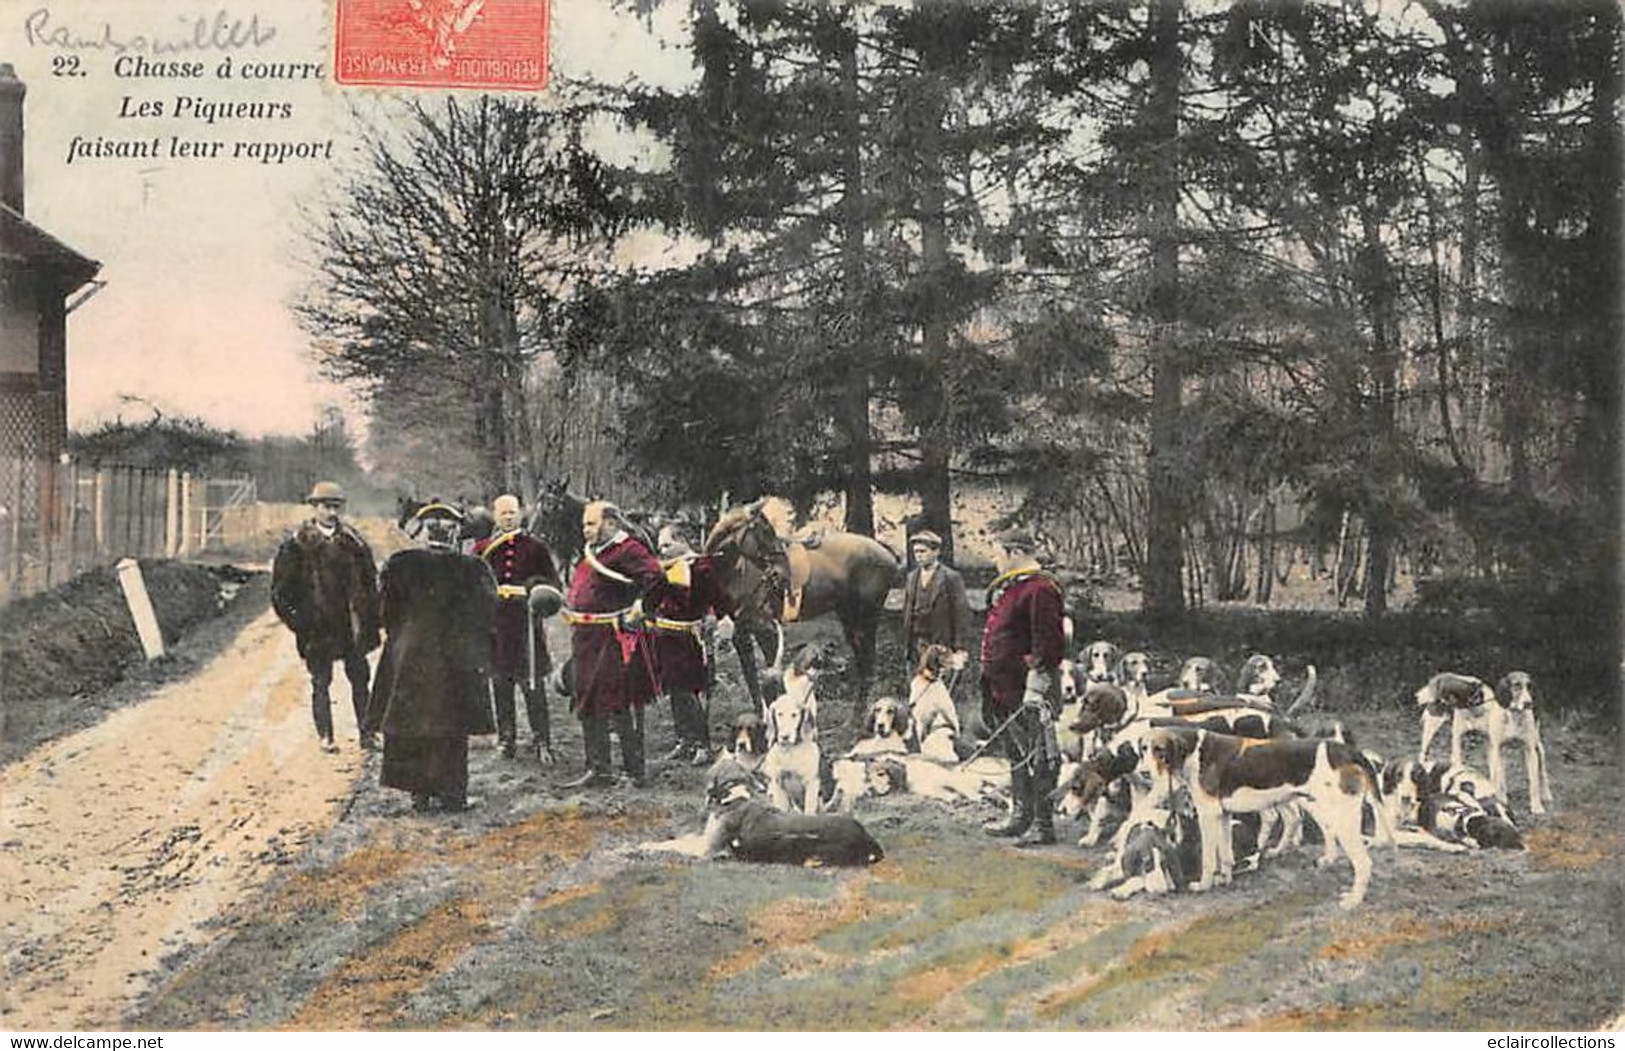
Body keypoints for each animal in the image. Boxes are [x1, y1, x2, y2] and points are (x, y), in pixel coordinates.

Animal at [637, 760, 890, 870]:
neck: (735, 797)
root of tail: (867, 838)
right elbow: (680, 838)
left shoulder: (705, 849)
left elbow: (674, 844)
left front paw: (645, 845)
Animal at [702, 500, 903, 724]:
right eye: (764, 531)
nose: (781, 573)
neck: (738, 573)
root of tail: (886, 553)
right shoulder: (742, 633)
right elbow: (752, 680)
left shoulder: (765, 629)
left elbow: (771, 679)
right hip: (849, 618)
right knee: (863, 663)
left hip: (868, 616)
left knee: (868, 664)